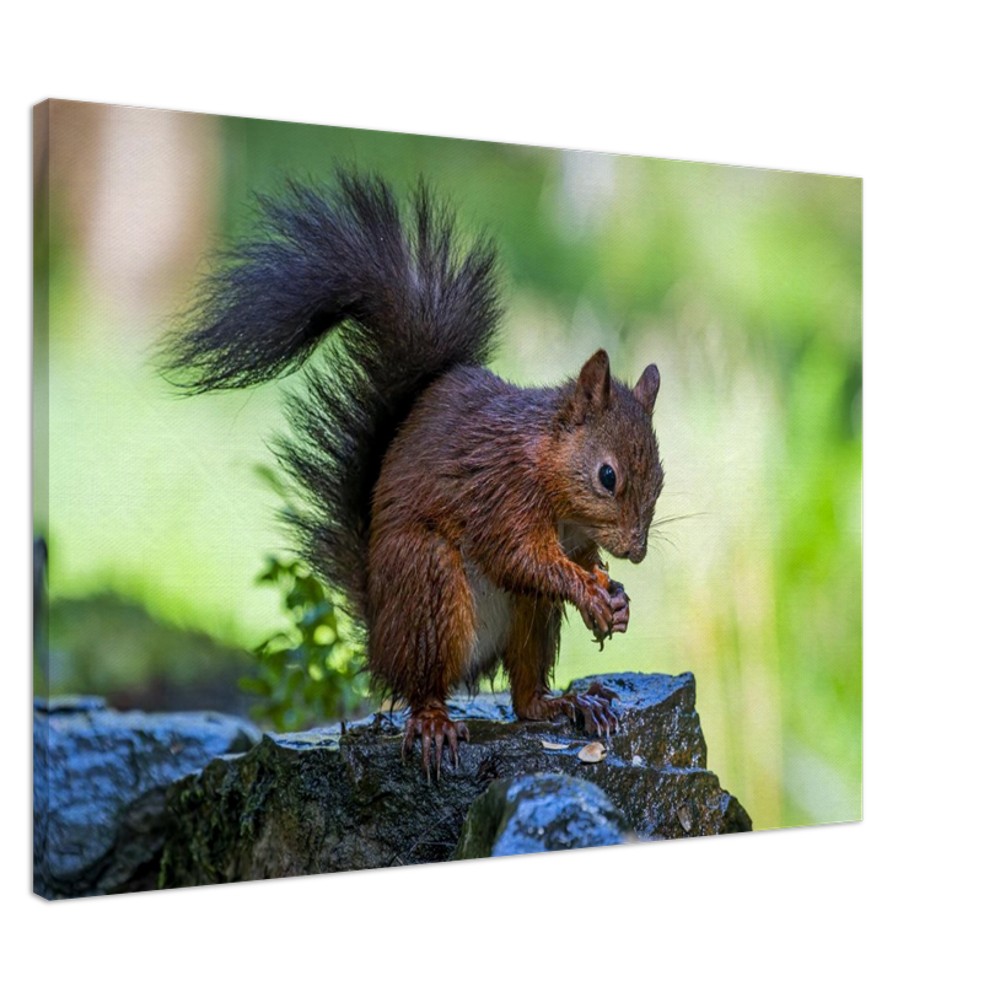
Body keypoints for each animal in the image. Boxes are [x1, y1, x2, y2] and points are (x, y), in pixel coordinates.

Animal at [162, 171, 664, 777]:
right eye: (607, 477)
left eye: (661, 476)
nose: (636, 551)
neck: (547, 468)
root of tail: (380, 640)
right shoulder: (500, 492)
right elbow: (521, 557)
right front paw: (590, 593)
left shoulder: (573, 536)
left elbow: (574, 562)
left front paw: (615, 599)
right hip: (427, 584)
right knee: (424, 684)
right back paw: (434, 722)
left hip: (527, 619)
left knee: (523, 693)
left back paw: (565, 702)